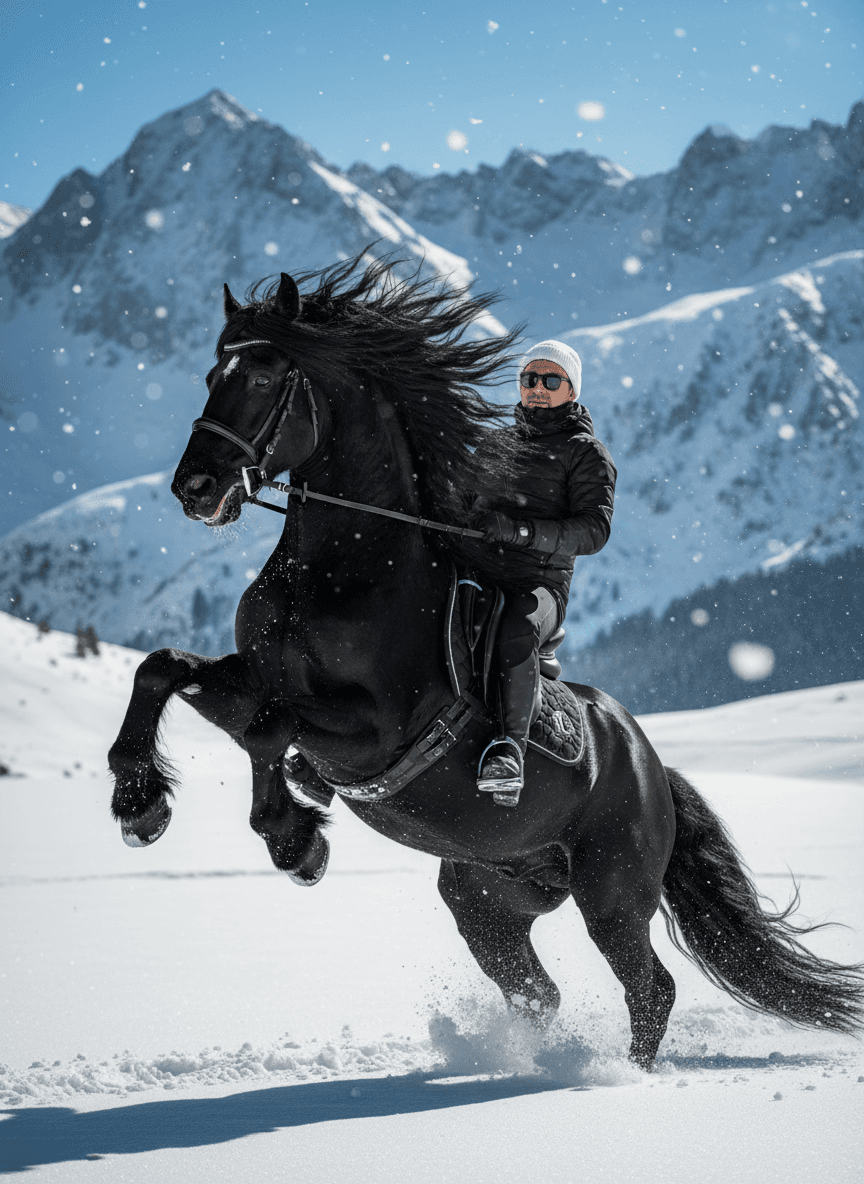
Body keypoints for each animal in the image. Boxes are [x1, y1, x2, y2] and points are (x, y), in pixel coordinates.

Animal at [108, 255, 863, 1070]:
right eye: (211, 372)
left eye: (265, 373)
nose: (196, 488)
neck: (343, 571)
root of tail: (651, 767)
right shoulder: (253, 680)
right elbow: (163, 669)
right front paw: (140, 805)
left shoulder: (378, 730)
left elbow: (268, 730)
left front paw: (295, 839)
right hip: (485, 896)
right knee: (540, 991)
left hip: (612, 893)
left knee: (650, 986)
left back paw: (616, 1074)